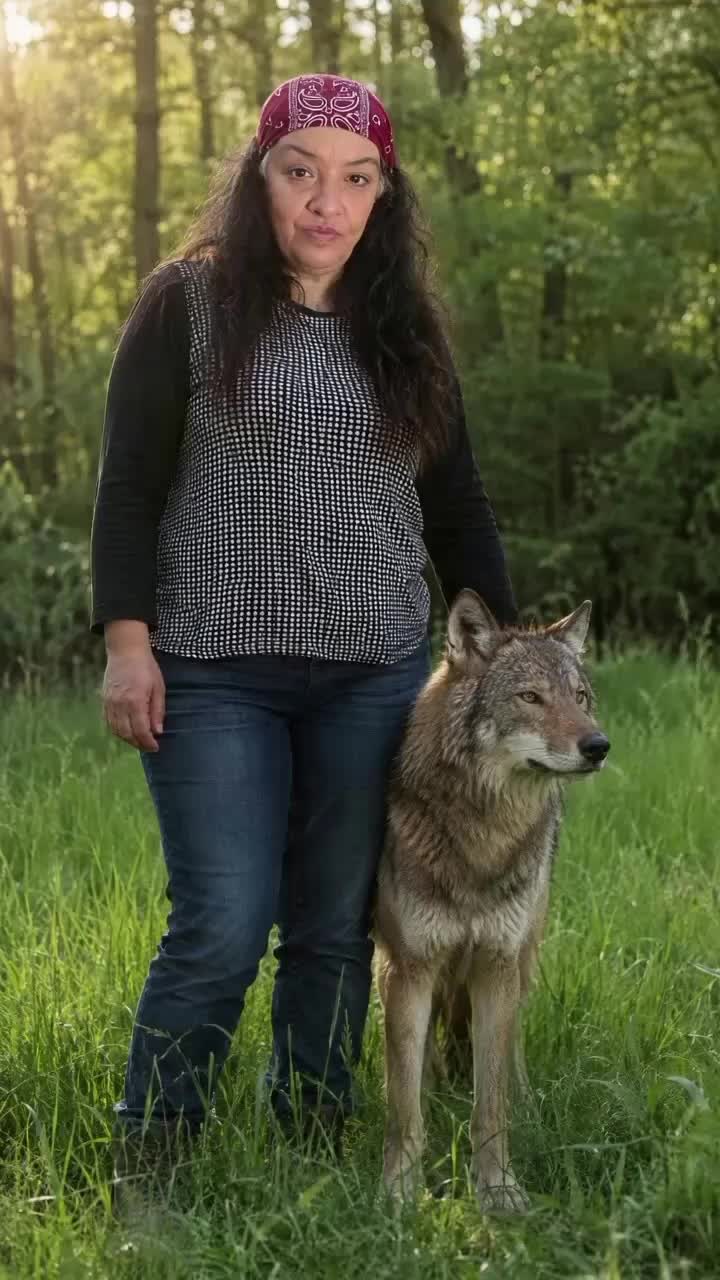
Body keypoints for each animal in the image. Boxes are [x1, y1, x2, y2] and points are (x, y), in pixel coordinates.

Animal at [375, 590, 610, 1214]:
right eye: (530, 697)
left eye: (580, 698)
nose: (598, 746)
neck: (481, 838)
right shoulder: (410, 965)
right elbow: (403, 1108)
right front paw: (400, 1192)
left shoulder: (496, 964)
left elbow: (491, 1103)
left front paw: (498, 1190)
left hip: (523, 956)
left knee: (511, 1052)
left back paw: (527, 1104)